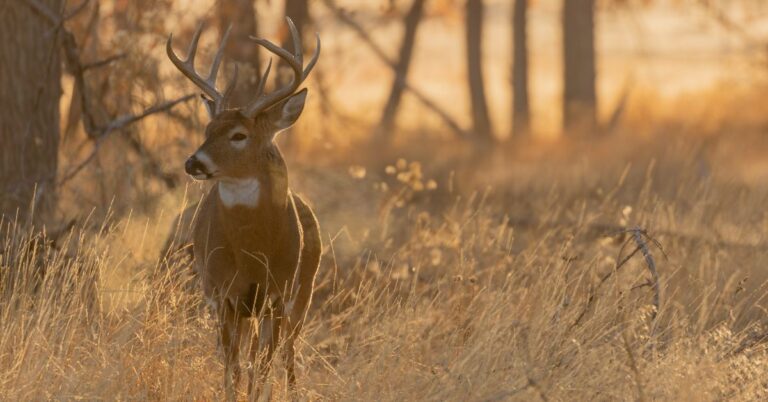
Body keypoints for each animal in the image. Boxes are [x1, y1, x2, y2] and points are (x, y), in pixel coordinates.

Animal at [166, 18, 322, 399]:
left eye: (239, 135)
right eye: (208, 129)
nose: (193, 162)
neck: (253, 252)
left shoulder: (278, 294)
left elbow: (260, 369)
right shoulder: (222, 293)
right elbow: (232, 368)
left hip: (304, 293)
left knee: (288, 354)